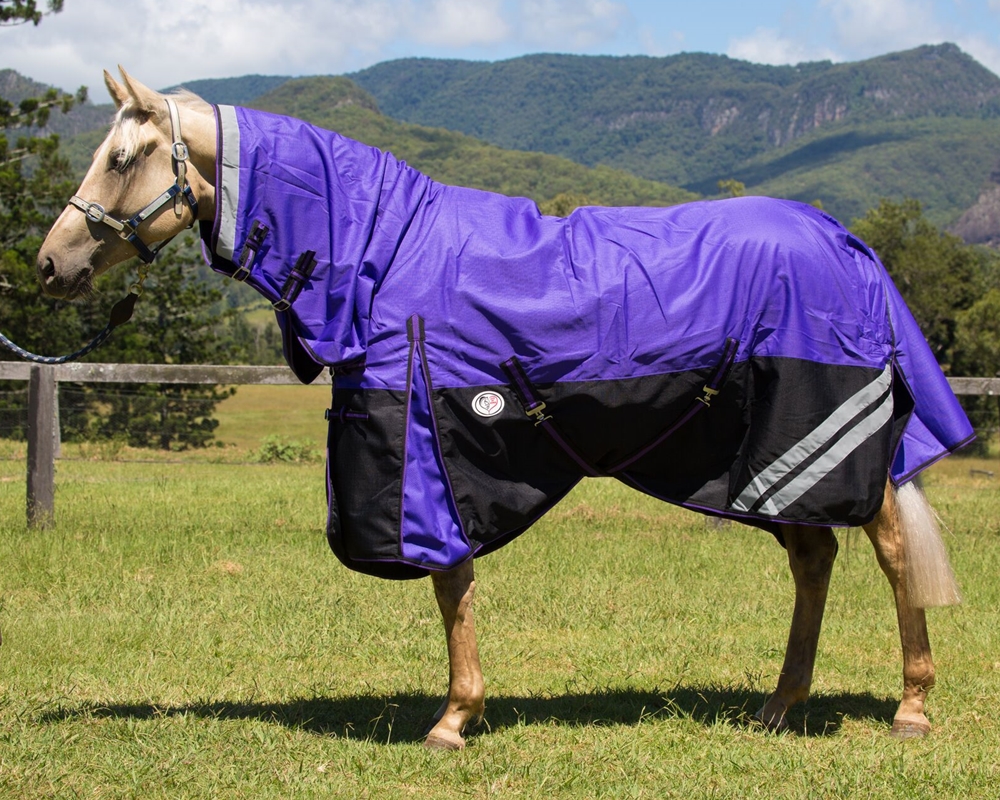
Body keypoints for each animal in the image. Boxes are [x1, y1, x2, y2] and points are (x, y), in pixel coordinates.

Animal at [36, 68, 971, 750]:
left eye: (123, 157)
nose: (51, 263)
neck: (385, 252)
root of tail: (847, 241)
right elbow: (455, 586)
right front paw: (461, 711)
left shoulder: (423, 453)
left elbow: (451, 582)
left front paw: (454, 720)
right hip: (760, 466)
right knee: (813, 558)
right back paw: (779, 706)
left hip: (832, 443)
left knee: (890, 553)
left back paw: (911, 708)